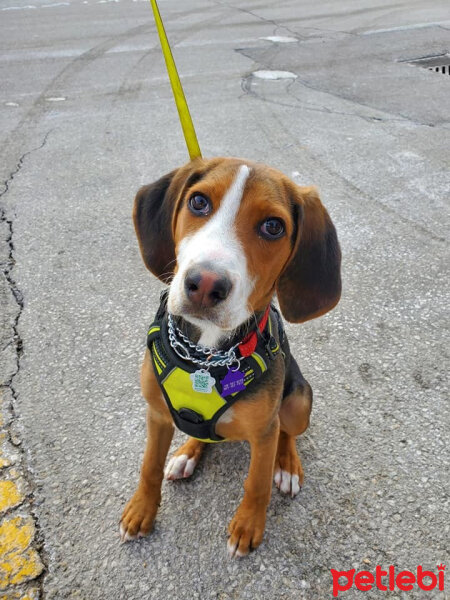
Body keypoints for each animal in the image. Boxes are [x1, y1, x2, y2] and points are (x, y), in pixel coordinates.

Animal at [119, 156, 342, 556]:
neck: (206, 355)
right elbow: (149, 466)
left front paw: (247, 527)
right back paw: (188, 452)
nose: (205, 284)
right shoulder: (157, 413)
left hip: (298, 402)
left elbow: (257, 483)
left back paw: (288, 466)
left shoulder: (265, 432)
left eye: (273, 226)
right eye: (198, 202)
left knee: (288, 431)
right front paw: (141, 511)